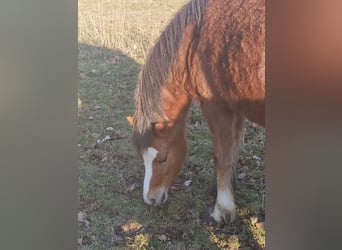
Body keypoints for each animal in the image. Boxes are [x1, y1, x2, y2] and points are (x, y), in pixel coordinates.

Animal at [127, 0, 264, 225]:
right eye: (142, 156)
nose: (150, 199)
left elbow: (221, 156)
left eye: (162, 159)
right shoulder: (235, 107)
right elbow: (233, 150)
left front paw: (221, 210)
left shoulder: (216, 108)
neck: (192, 40)